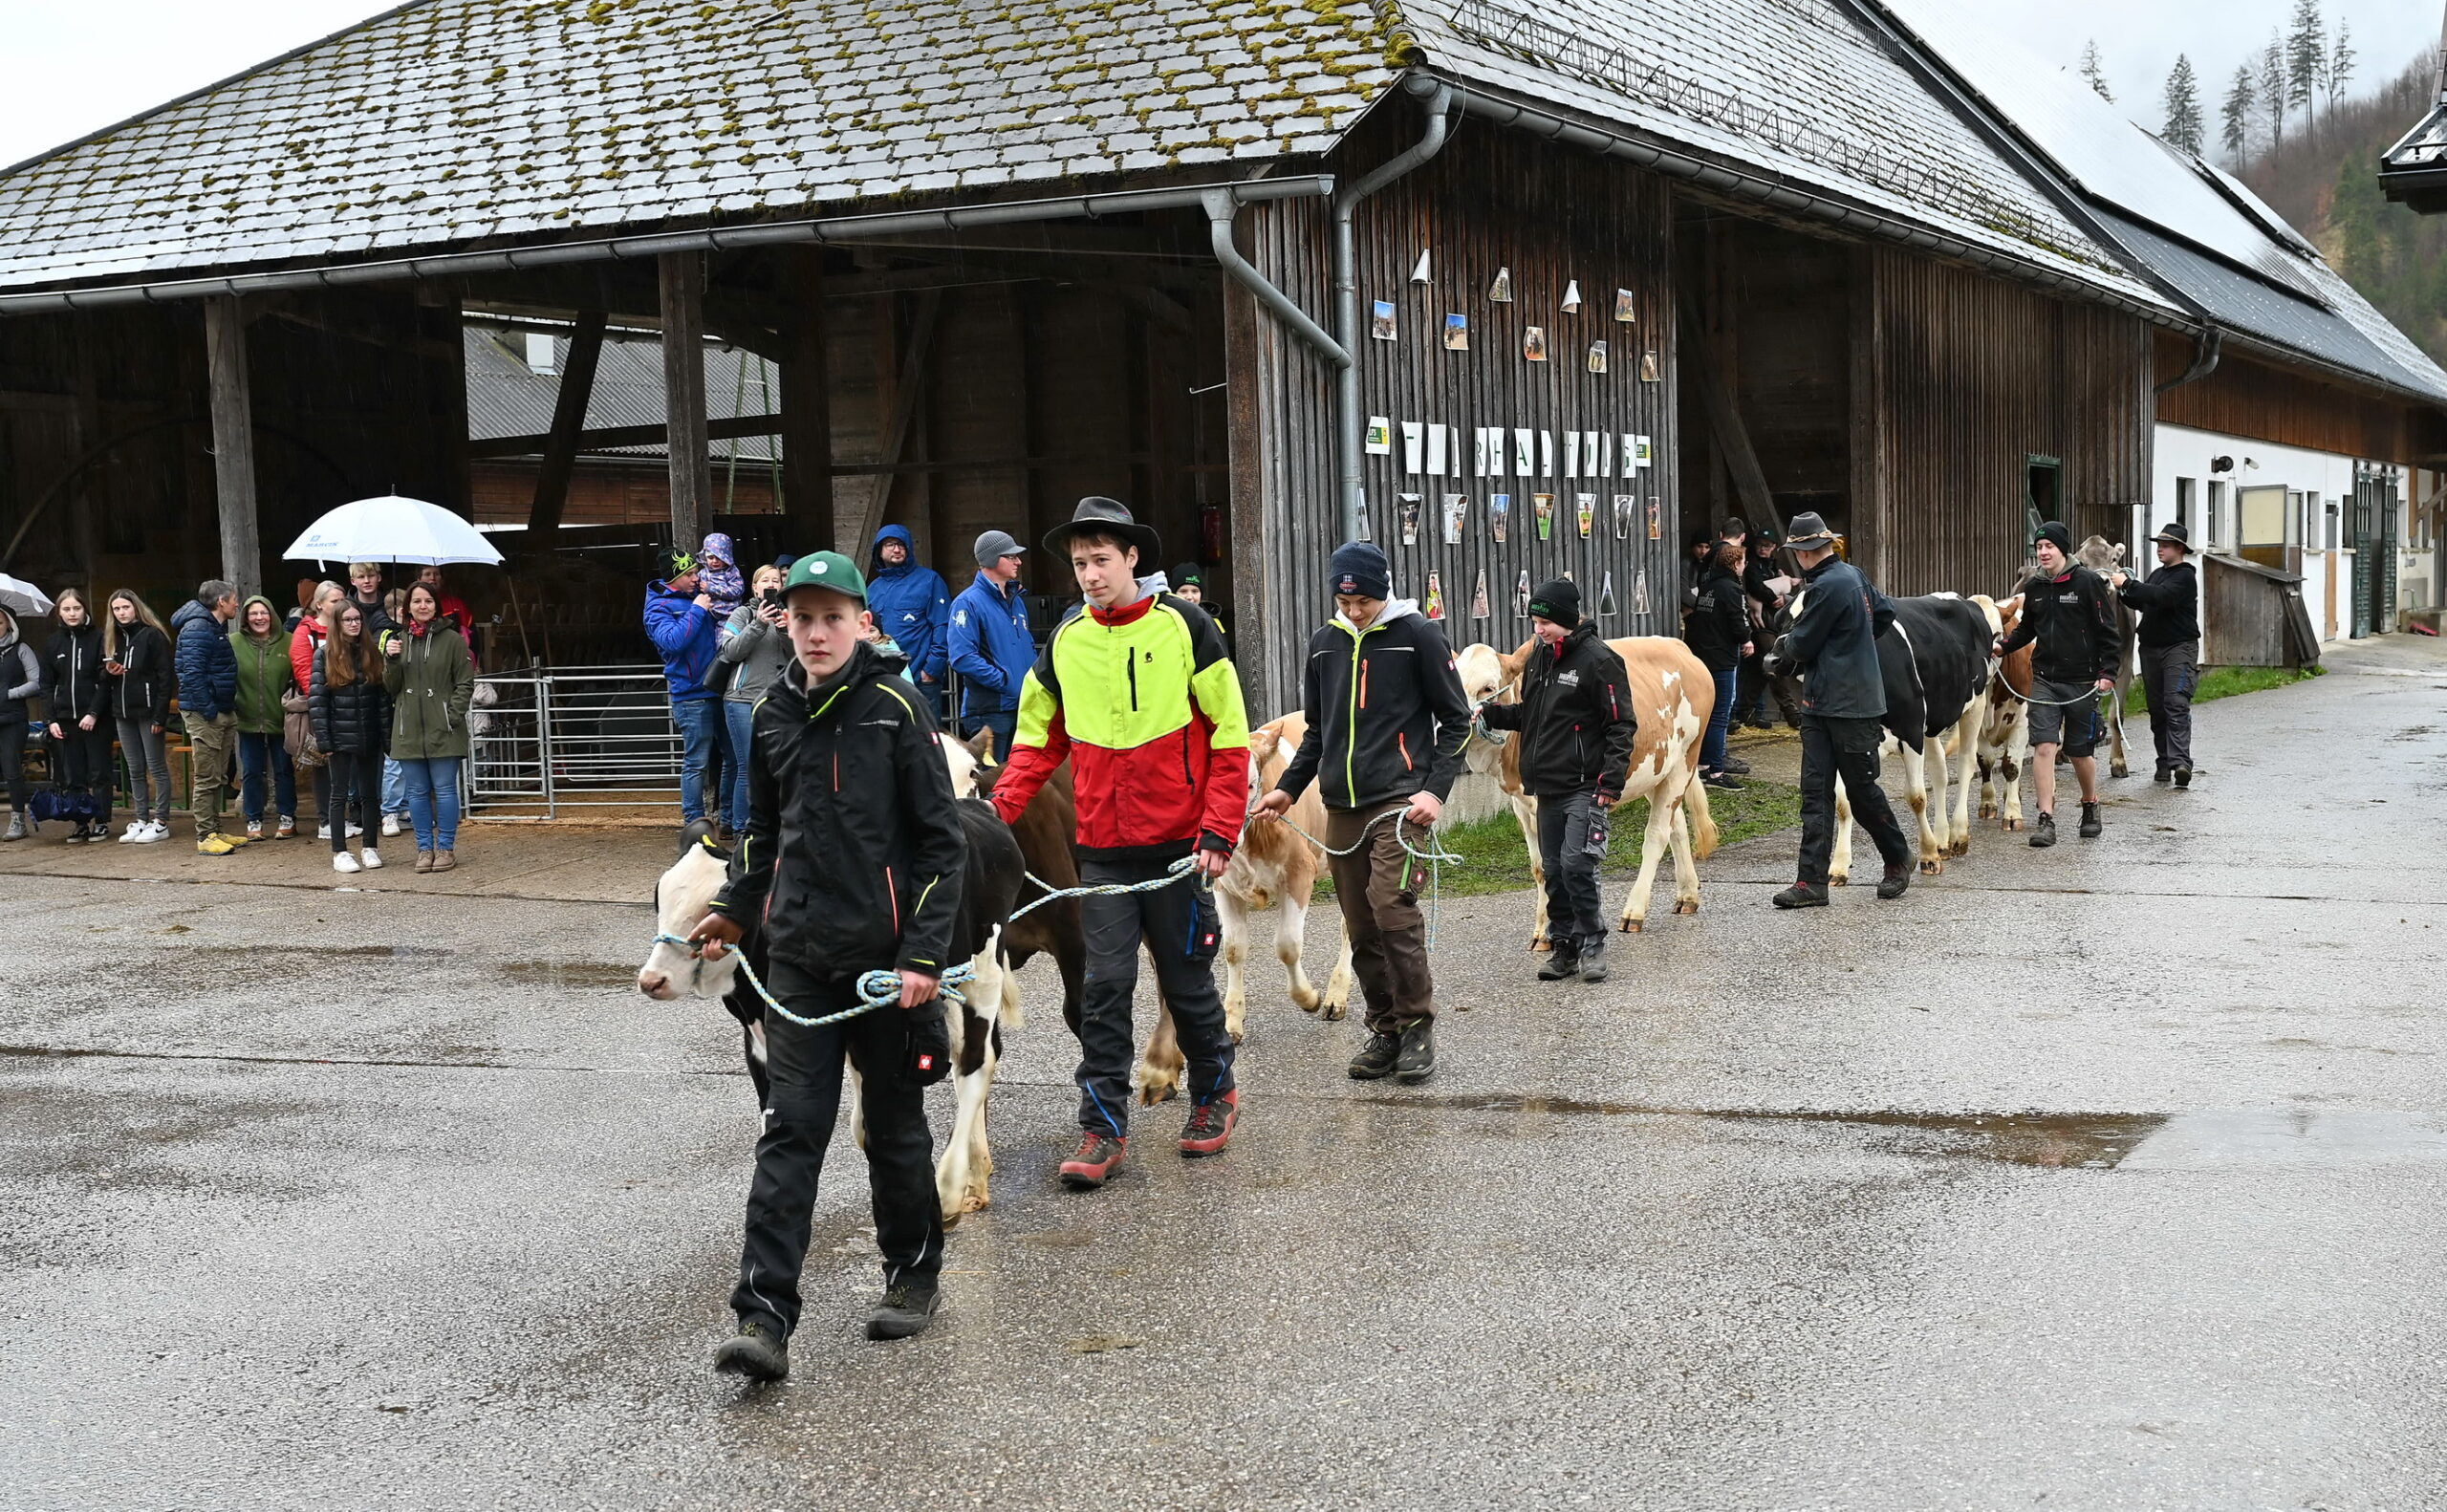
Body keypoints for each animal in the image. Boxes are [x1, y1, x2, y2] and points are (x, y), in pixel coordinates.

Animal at [1448, 631, 1722, 939]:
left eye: (1488, 688)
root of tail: (1677, 645)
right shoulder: (1521, 805)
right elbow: (1540, 866)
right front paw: (1542, 932)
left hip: (1684, 761)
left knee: (1657, 835)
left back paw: (1634, 911)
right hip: (1656, 770)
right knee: (1677, 827)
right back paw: (1687, 895)